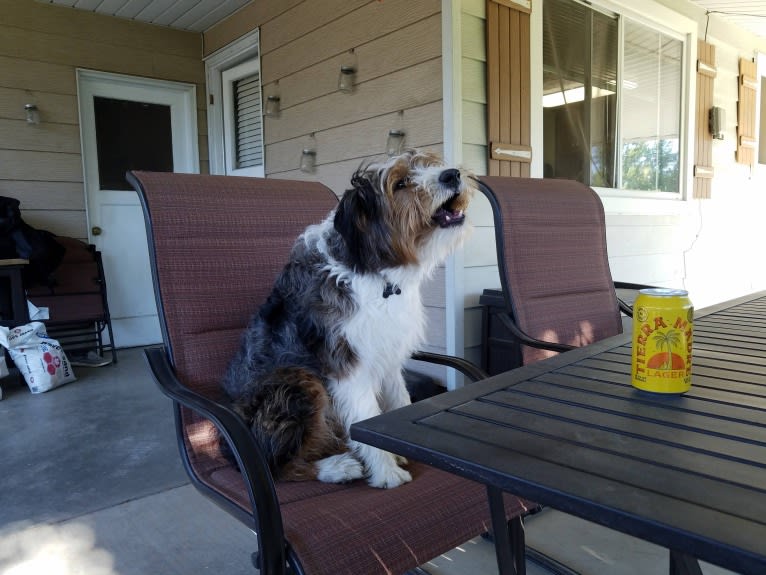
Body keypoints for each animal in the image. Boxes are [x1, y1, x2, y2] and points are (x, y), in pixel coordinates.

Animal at [220, 150, 474, 490]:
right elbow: (364, 413)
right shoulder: (347, 364)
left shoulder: (388, 354)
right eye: (400, 183)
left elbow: (398, 400)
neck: (376, 274)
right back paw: (337, 467)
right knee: (279, 466)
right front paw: (386, 472)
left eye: (430, 163)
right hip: (297, 381)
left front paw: (397, 449)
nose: (452, 175)